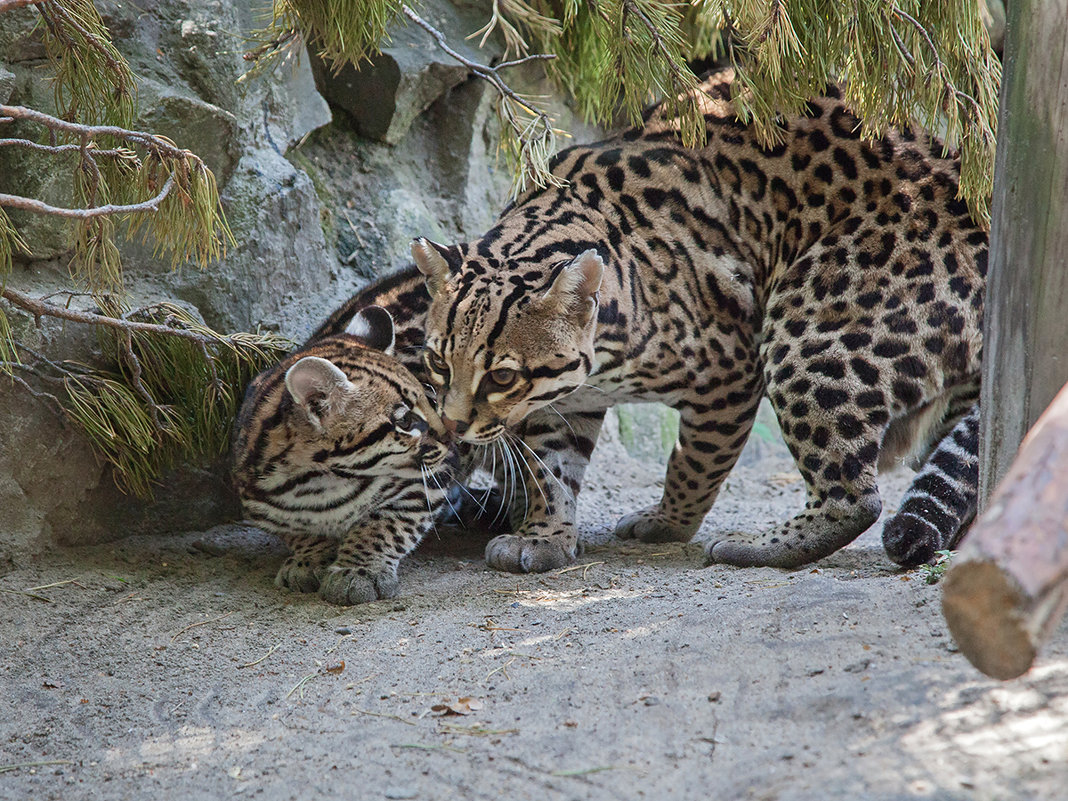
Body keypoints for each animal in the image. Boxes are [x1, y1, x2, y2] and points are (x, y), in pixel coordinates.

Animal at [231, 273, 452, 606]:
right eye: (405, 421)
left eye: (431, 398)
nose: (453, 439)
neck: (318, 483)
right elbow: (299, 531)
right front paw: (309, 558)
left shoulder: (425, 483)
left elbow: (386, 524)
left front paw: (359, 569)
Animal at [410, 67, 982, 572]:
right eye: (438, 363)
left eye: (502, 376)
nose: (453, 425)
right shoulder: (564, 403)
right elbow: (549, 468)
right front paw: (545, 534)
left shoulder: (731, 374)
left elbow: (696, 461)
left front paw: (669, 522)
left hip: (810, 333)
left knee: (855, 497)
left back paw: (757, 547)